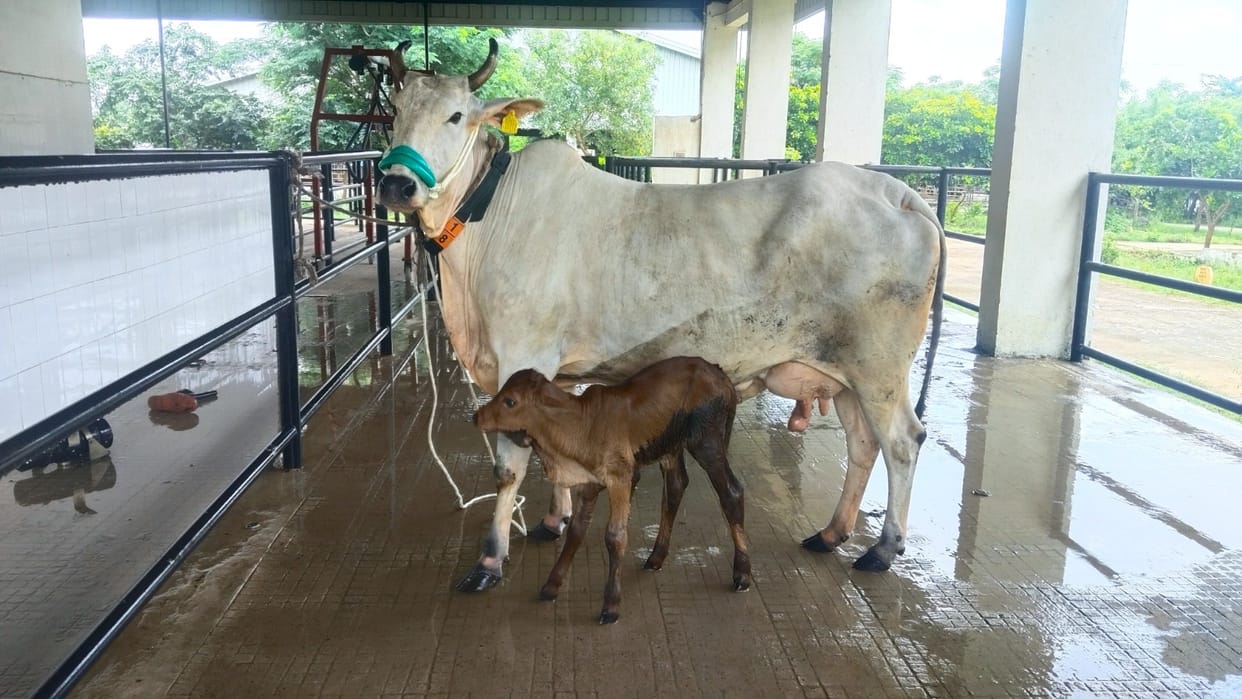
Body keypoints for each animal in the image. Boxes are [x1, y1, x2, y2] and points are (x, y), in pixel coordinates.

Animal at [376, 39, 946, 592]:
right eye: (395, 110)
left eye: (456, 115)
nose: (397, 185)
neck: (487, 221)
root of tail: (896, 191)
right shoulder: (550, 371)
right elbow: (549, 448)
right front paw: (554, 520)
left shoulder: (521, 354)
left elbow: (509, 467)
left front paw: (490, 561)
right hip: (841, 369)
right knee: (862, 443)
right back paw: (832, 532)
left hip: (878, 366)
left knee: (901, 442)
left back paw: (883, 548)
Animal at [474, 357, 749, 624]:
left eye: (510, 401)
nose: (477, 416)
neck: (581, 425)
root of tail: (719, 373)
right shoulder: (590, 484)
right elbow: (577, 529)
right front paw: (551, 586)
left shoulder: (621, 477)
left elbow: (615, 536)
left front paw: (611, 605)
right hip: (670, 447)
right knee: (675, 487)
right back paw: (656, 557)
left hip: (706, 442)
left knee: (732, 492)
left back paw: (742, 574)